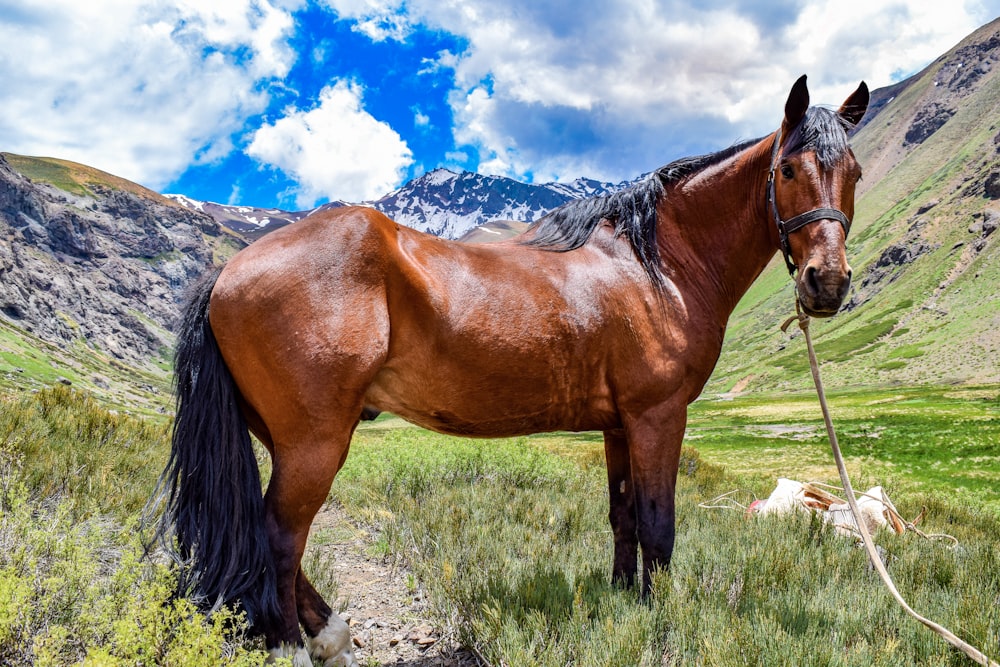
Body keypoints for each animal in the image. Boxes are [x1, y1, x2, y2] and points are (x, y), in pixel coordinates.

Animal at [150, 75, 868, 664]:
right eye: (789, 168)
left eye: (854, 172)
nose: (826, 283)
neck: (656, 265)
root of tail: (228, 271)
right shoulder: (658, 416)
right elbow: (660, 526)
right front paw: (661, 619)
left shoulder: (619, 424)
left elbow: (625, 517)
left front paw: (624, 603)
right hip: (315, 439)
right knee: (279, 535)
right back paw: (295, 648)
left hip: (288, 438)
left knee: (278, 536)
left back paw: (330, 635)